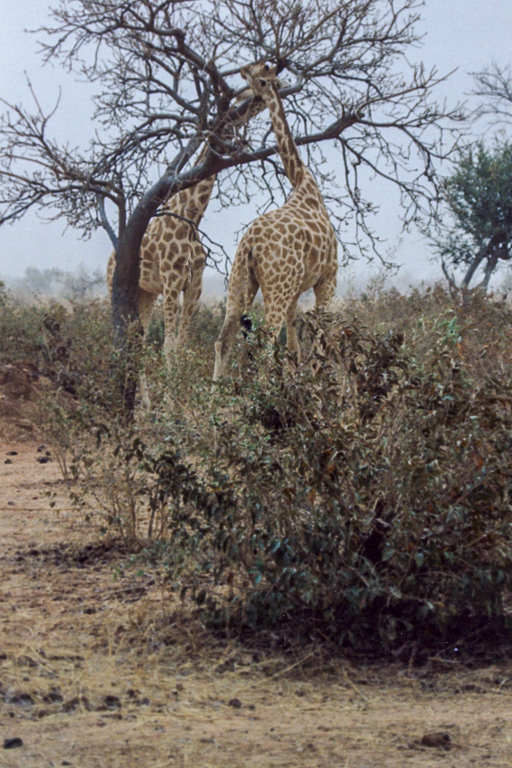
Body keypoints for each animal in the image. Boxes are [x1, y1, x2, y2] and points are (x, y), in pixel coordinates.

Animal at [213, 63, 340, 380]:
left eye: (256, 75)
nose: (242, 74)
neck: (302, 180)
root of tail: (250, 244)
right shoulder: (328, 278)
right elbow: (318, 343)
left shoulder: (296, 292)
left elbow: (295, 348)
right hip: (276, 287)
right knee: (265, 345)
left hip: (239, 281)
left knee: (224, 340)